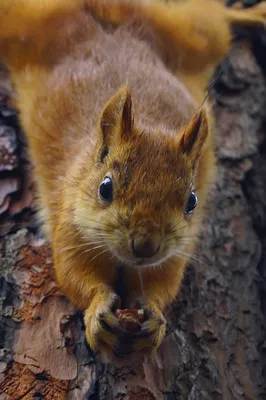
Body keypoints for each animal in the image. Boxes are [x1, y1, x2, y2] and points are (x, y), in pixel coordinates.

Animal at [0, 0, 264, 360]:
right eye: (105, 187)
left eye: (192, 201)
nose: (146, 246)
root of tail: (107, 12)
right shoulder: (69, 229)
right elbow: (73, 275)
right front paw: (98, 312)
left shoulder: (175, 251)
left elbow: (163, 284)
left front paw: (155, 316)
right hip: (22, 28)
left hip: (195, 36)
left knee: (213, 19)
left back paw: (250, 14)